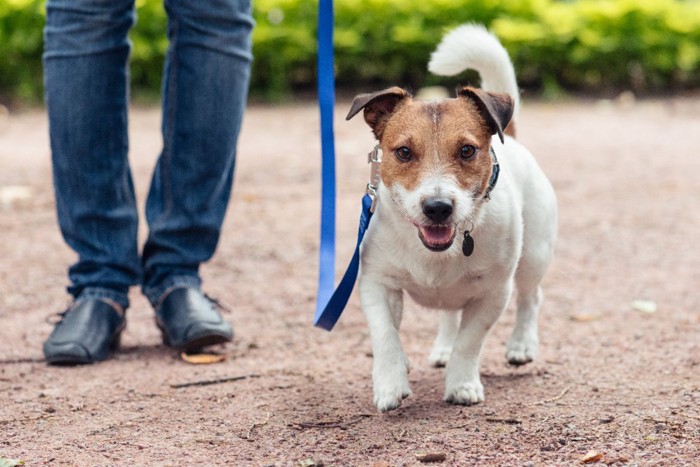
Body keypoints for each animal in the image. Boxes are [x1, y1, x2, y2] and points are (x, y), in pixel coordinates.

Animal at [344, 24, 556, 414]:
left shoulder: (493, 293)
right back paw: (442, 348)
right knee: (449, 315)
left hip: (534, 255)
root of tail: (512, 138)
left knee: (531, 297)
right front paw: (391, 382)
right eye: (403, 152)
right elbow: (386, 336)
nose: (438, 207)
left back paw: (521, 345)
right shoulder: (377, 283)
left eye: (468, 150)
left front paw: (461, 384)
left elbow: (469, 342)